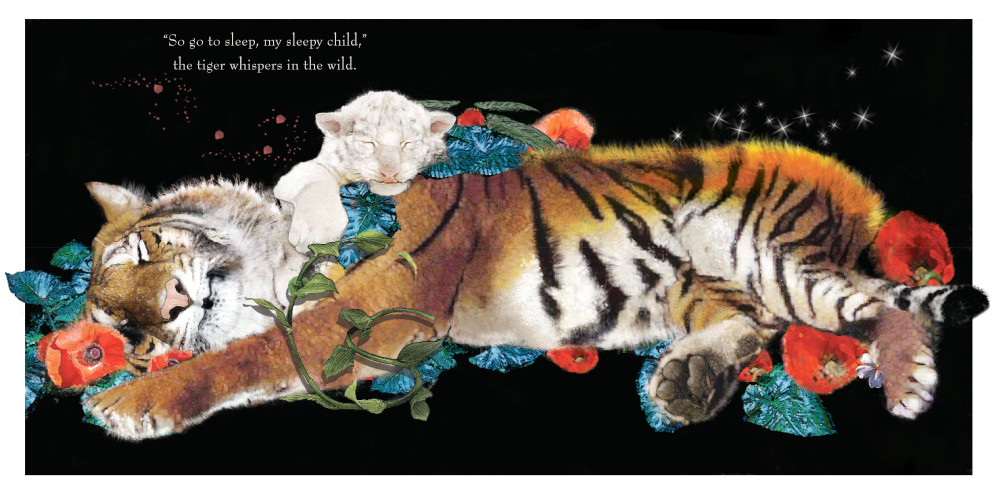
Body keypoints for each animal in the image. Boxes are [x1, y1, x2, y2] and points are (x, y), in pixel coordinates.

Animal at [81, 140, 988, 440]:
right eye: (119, 332)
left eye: (147, 247)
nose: (168, 313)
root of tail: (854, 188)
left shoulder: (373, 308)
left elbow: (253, 353)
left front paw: (129, 404)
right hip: (700, 283)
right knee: (756, 323)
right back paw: (690, 382)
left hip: (753, 243)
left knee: (882, 308)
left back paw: (909, 382)